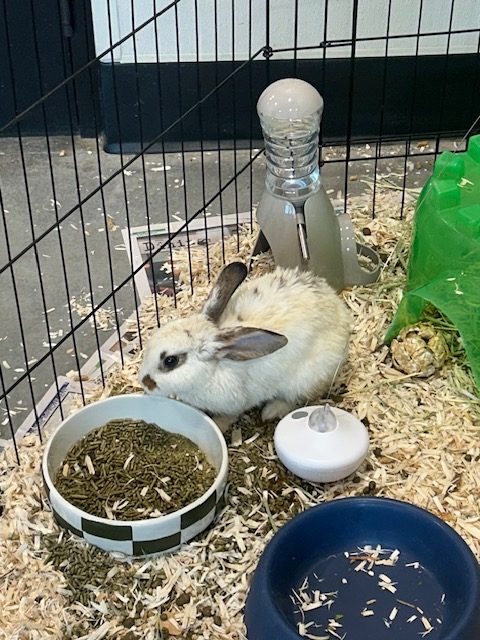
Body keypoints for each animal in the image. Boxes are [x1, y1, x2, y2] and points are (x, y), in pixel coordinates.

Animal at [138, 261, 351, 431]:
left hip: (305, 380)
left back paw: (271, 411)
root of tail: (339, 308)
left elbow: (229, 417)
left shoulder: (234, 405)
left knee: (295, 398)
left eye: (170, 361)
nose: (144, 382)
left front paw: (218, 425)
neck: (213, 369)